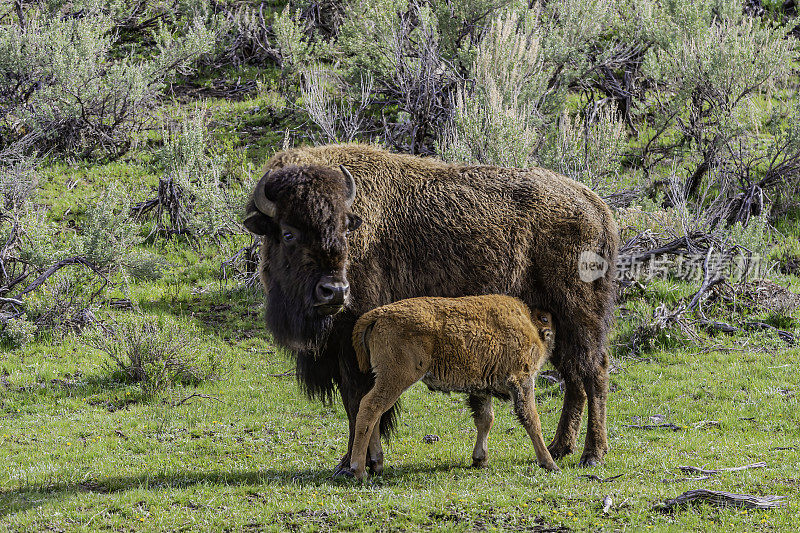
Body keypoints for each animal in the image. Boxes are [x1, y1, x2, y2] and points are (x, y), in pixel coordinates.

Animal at [346, 296, 560, 478]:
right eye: (546, 319)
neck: (529, 324)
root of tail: (379, 314)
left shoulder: (481, 390)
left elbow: (485, 420)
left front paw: (480, 460)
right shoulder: (523, 382)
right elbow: (531, 419)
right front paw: (549, 463)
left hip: (383, 379)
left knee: (375, 412)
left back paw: (377, 464)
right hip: (396, 378)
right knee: (370, 408)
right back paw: (359, 470)